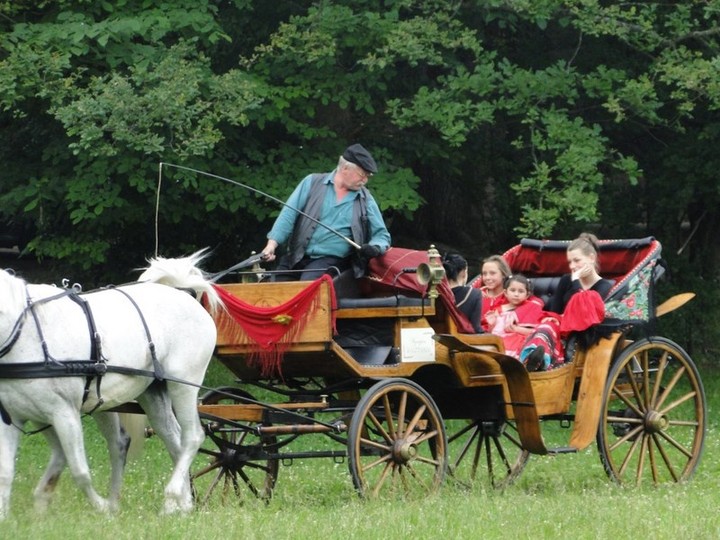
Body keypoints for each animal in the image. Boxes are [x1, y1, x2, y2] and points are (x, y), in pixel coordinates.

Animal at [0, 251, 222, 516]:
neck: (26, 333)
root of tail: (183, 292)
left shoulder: (64, 413)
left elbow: (80, 471)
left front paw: (102, 507)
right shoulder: (13, 417)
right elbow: (6, 472)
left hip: (184, 386)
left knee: (193, 437)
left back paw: (170, 498)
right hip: (151, 394)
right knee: (173, 441)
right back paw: (181, 505)